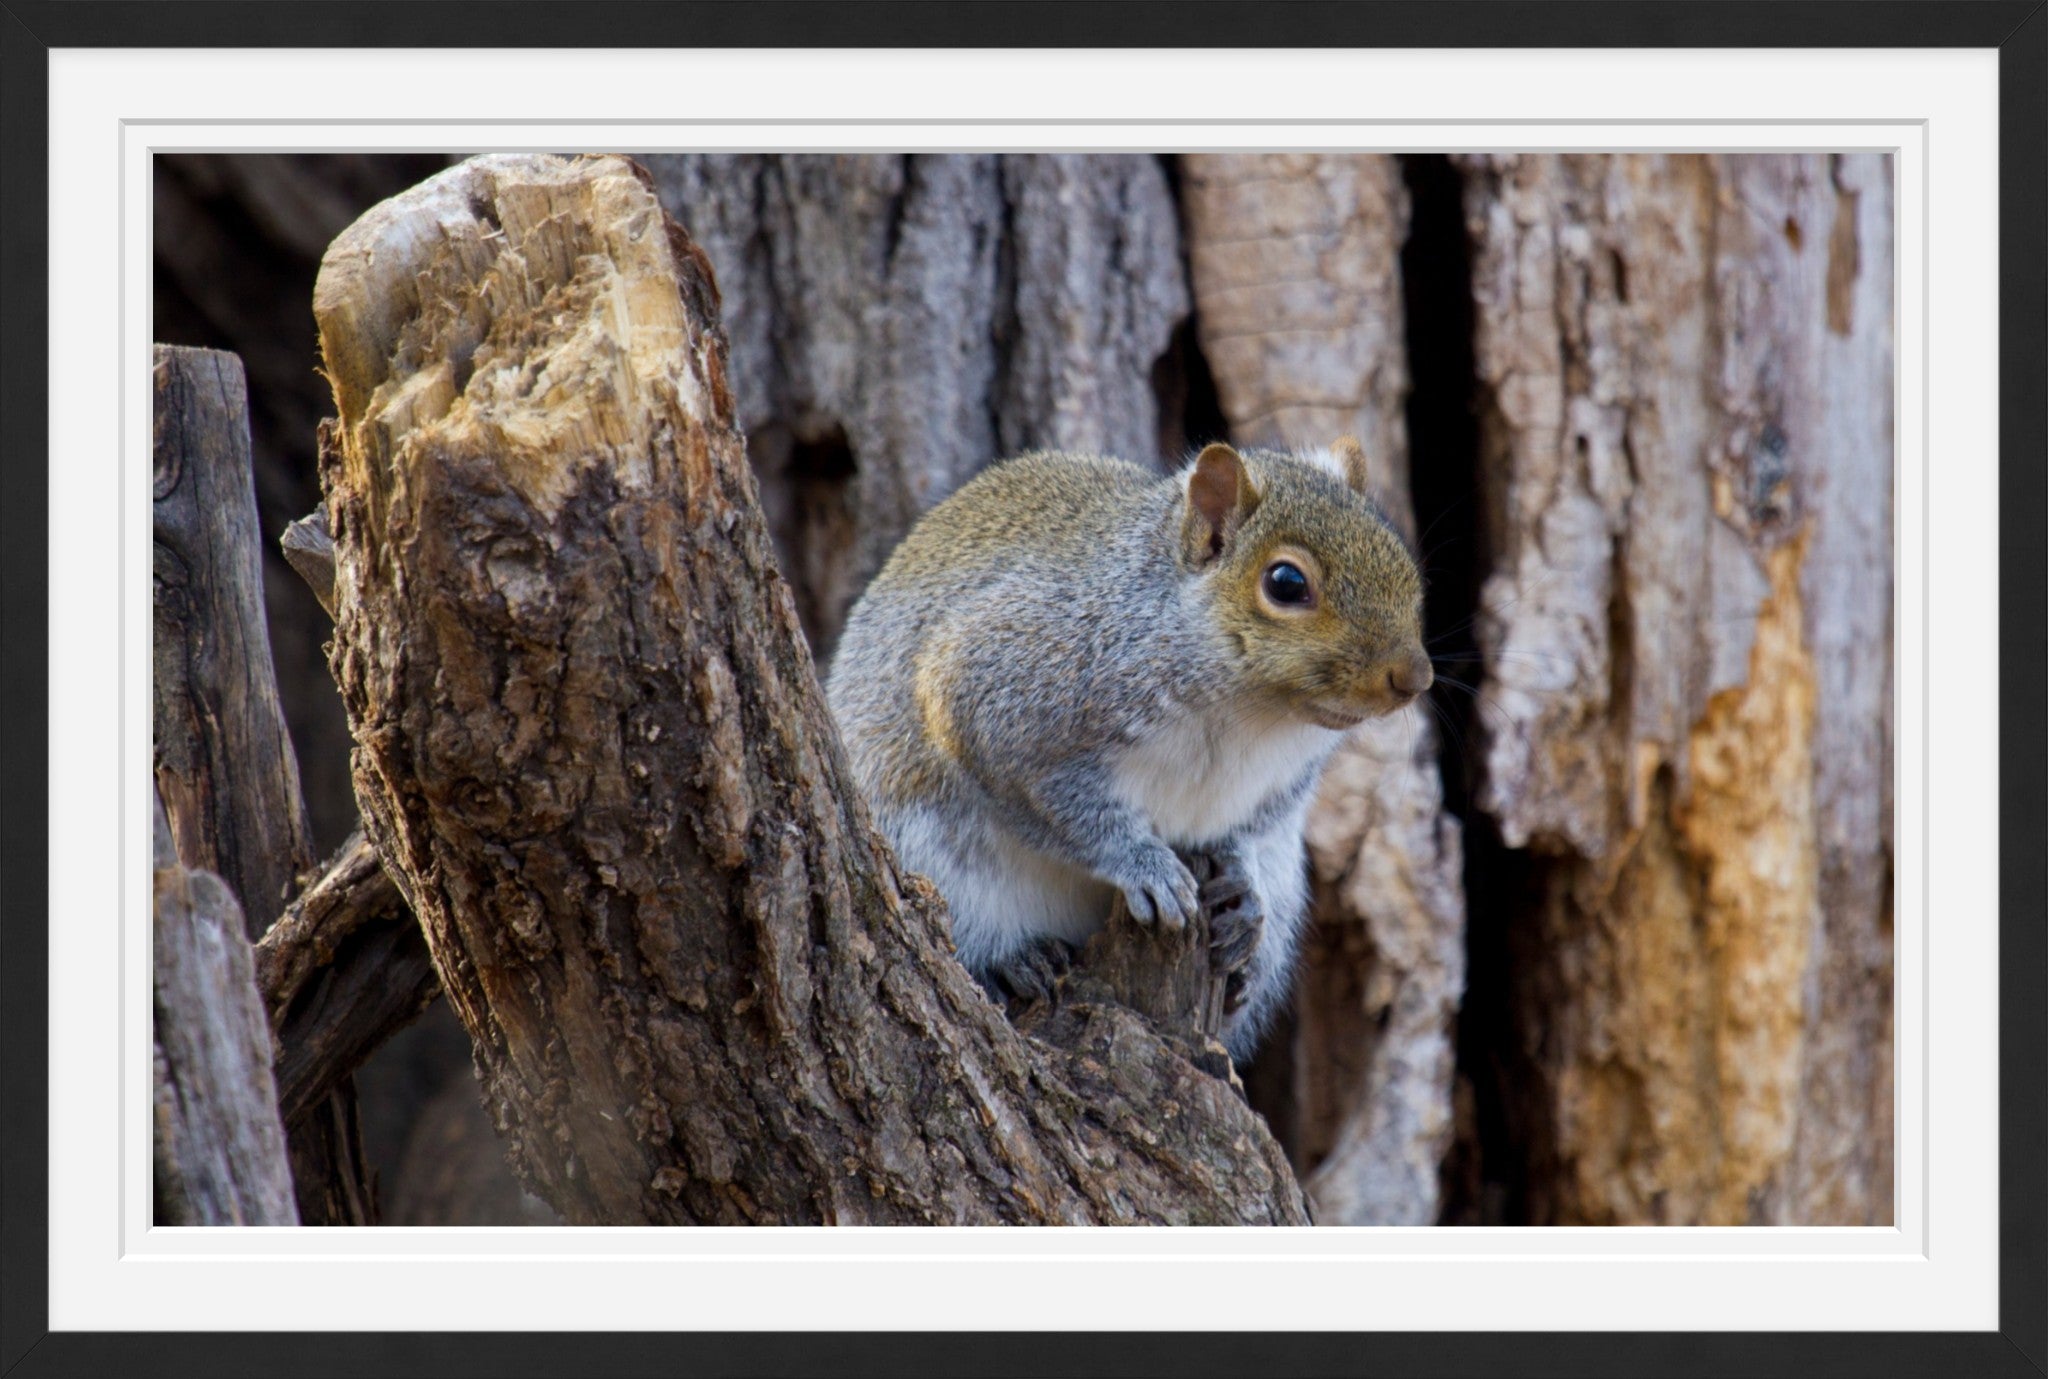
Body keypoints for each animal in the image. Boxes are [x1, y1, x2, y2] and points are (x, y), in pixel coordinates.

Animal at [826, 438, 1431, 1059]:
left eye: (1400, 560)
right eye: (1286, 583)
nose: (1414, 678)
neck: (1251, 712)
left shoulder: (1287, 780)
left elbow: (1250, 827)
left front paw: (1242, 886)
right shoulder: (1006, 694)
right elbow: (1055, 805)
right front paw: (1143, 864)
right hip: (926, 852)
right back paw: (1012, 960)